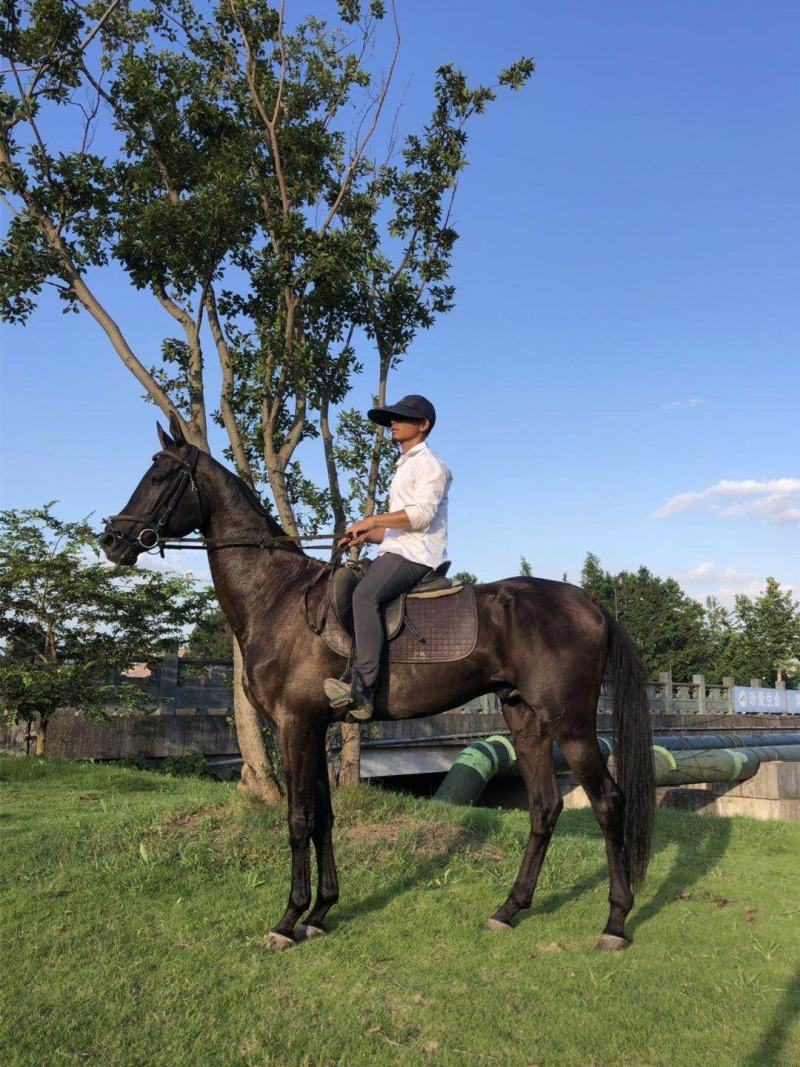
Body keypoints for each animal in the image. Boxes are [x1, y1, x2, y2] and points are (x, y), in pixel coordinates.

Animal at [100, 413, 655, 952]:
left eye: (158, 478)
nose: (110, 541)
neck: (277, 597)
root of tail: (590, 604)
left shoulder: (294, 724)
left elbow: (298, 818)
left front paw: (288, 920)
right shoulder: (314, 726)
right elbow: (323, 816)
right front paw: (321, 912)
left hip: (571, 724)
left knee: (608, 803)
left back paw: (615, 922)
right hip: (526, 720)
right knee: (544, 807)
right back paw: (508, 910)